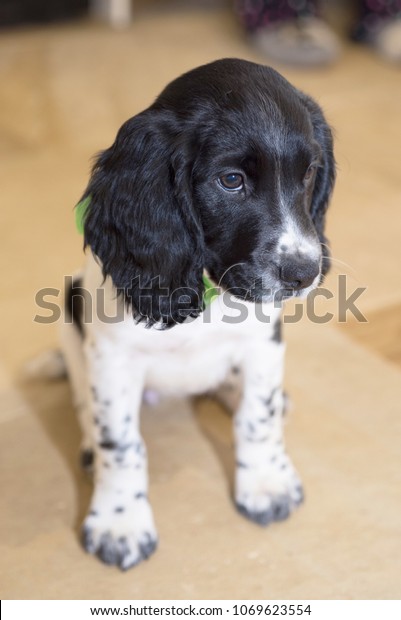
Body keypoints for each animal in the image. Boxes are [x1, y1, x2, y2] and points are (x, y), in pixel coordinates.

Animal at [62, 59, 334, 572]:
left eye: (309, 172)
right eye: (231, 180)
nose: (304, 272)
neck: (206, 287)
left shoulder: (263, 342)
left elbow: (257, 416)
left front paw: (266, 484)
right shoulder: (112, 359)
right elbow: (121, 445)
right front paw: (120, 523)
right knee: (84, 403)